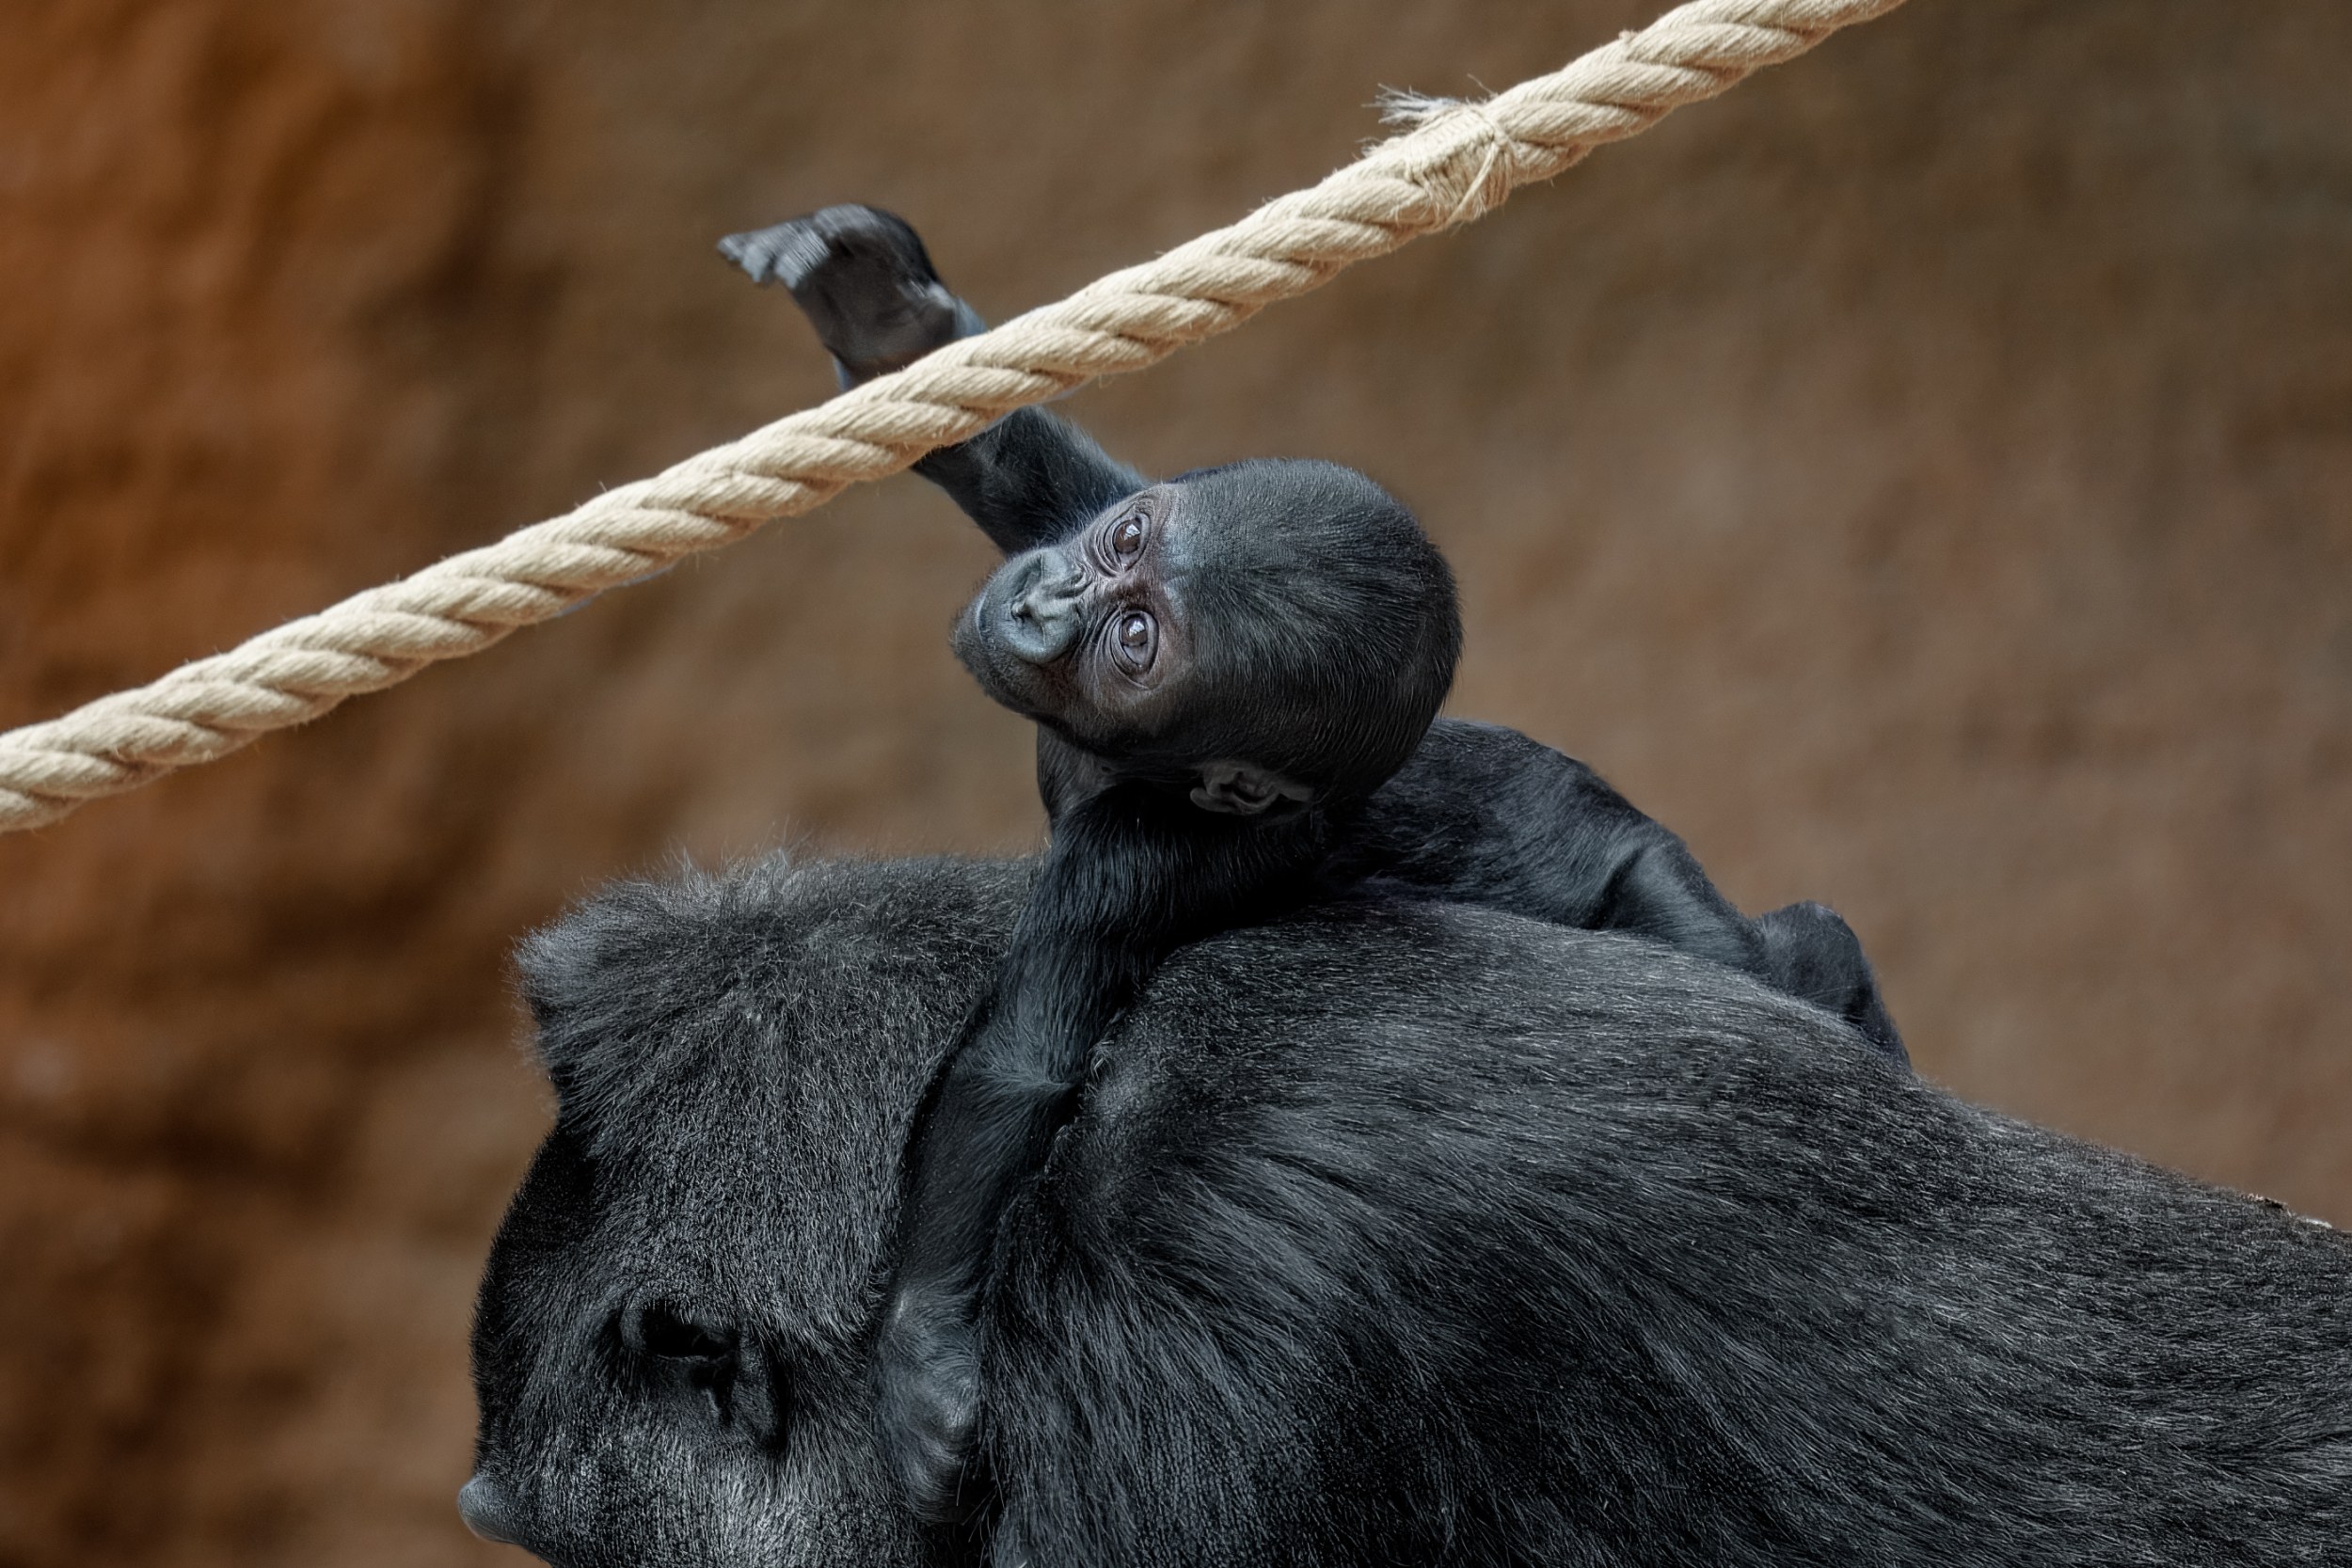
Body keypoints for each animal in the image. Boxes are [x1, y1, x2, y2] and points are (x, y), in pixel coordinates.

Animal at [720, 201, 1910, 1523]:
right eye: (1121, 544)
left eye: (1134, 639)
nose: (1040, 605)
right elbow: (1016, 467)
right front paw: (887, 318)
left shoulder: (1137, 853)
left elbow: (1018, 1062)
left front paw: (923, 1350)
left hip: (1662, 894)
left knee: (1762, 945)